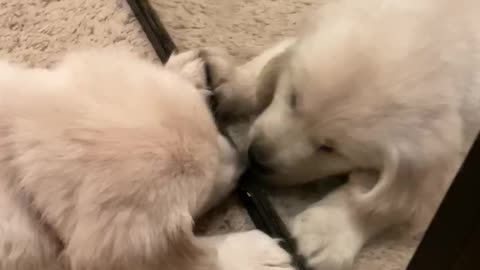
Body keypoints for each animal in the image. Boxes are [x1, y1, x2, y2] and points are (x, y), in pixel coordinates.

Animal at [203, 0, 480, 268]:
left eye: (330, 148)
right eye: (293, 98)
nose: (256, 157)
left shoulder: (455, 166)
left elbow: (386, 200)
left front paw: (327, 231)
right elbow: (278, 57)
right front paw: (231, 80)